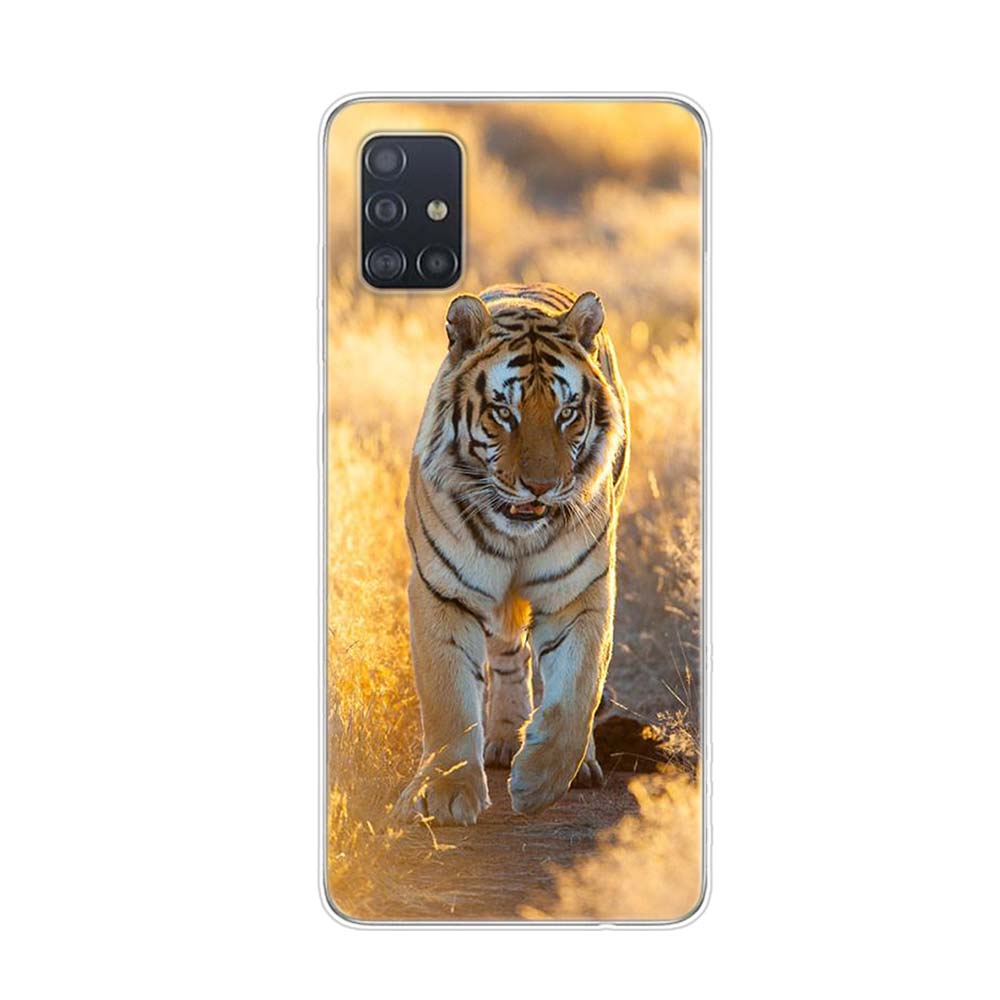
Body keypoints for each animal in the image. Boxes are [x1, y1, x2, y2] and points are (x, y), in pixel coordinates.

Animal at [394, 283, 630, 826]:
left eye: (567, 413)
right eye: (503, 412)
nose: (541, 487)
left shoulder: (579, 595)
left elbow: (577, 693)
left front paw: (539, 782)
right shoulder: (442, 592)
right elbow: (448, 701)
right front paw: (445, 795)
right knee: (507, 656)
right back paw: (503, 740)